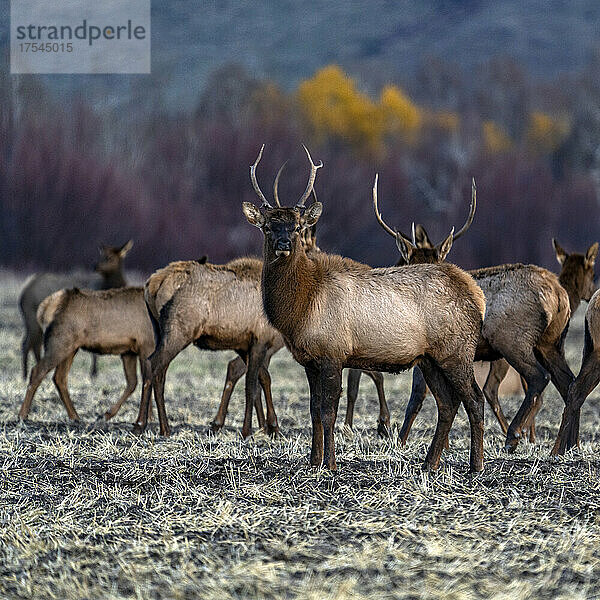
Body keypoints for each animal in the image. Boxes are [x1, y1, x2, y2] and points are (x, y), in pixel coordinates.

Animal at [19, 240, 134, 378]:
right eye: (101, 255)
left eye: (110, 257)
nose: (95, 266)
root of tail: (24, 292)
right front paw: (93, 373)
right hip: (32, 318)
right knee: (28, 344)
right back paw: (25, 375)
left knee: (32, 343)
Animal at [241, 146, 486, 474]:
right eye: (267, 226)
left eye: (297, 226)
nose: (283, 243)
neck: (301, 309)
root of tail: (476, 293)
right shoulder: (308, 360)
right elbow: (313, 411)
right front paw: (313, 462)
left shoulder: (333, 353)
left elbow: (328, 411)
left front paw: (330, 464)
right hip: (430, 358)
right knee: (447, 404)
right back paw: (428, 464)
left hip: (457, 351)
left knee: (474, 399)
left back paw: (476, 466)